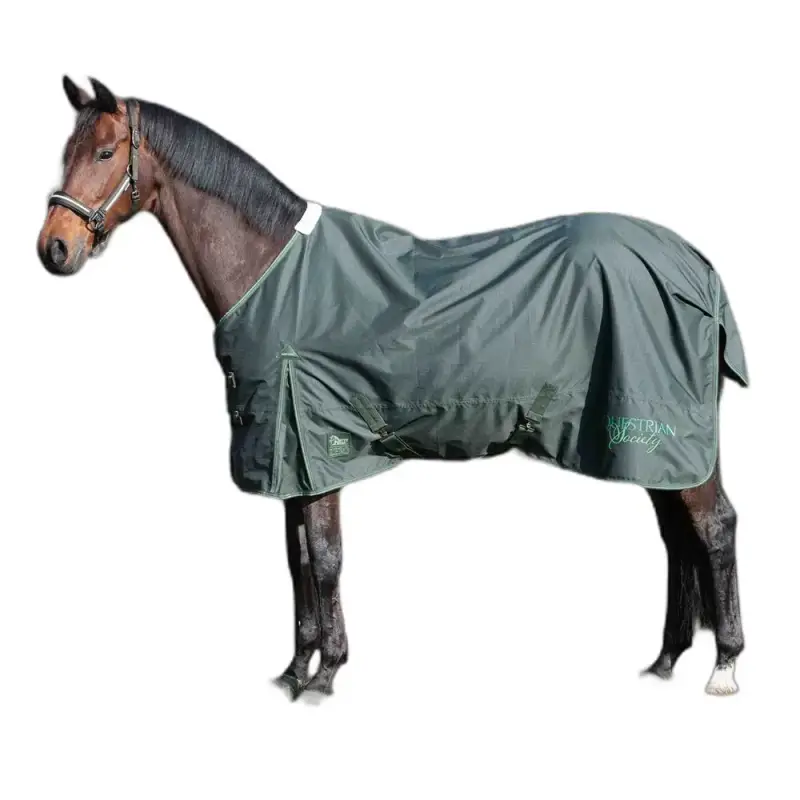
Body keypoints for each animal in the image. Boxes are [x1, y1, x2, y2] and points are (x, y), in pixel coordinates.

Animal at [37, 76, 747, 698]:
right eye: (65, 152)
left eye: (105, 152)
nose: (54, 249)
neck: (272, 269)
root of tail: (699, 267)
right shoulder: (290, 459)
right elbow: (297, 562)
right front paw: (295, 670)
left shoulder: (313, 446)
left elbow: (325, 557)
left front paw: (326, 674)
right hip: (649, 449)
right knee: (677, 538)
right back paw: (666, 660)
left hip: (668, 438)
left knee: (713, 529)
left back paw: (724, 667)